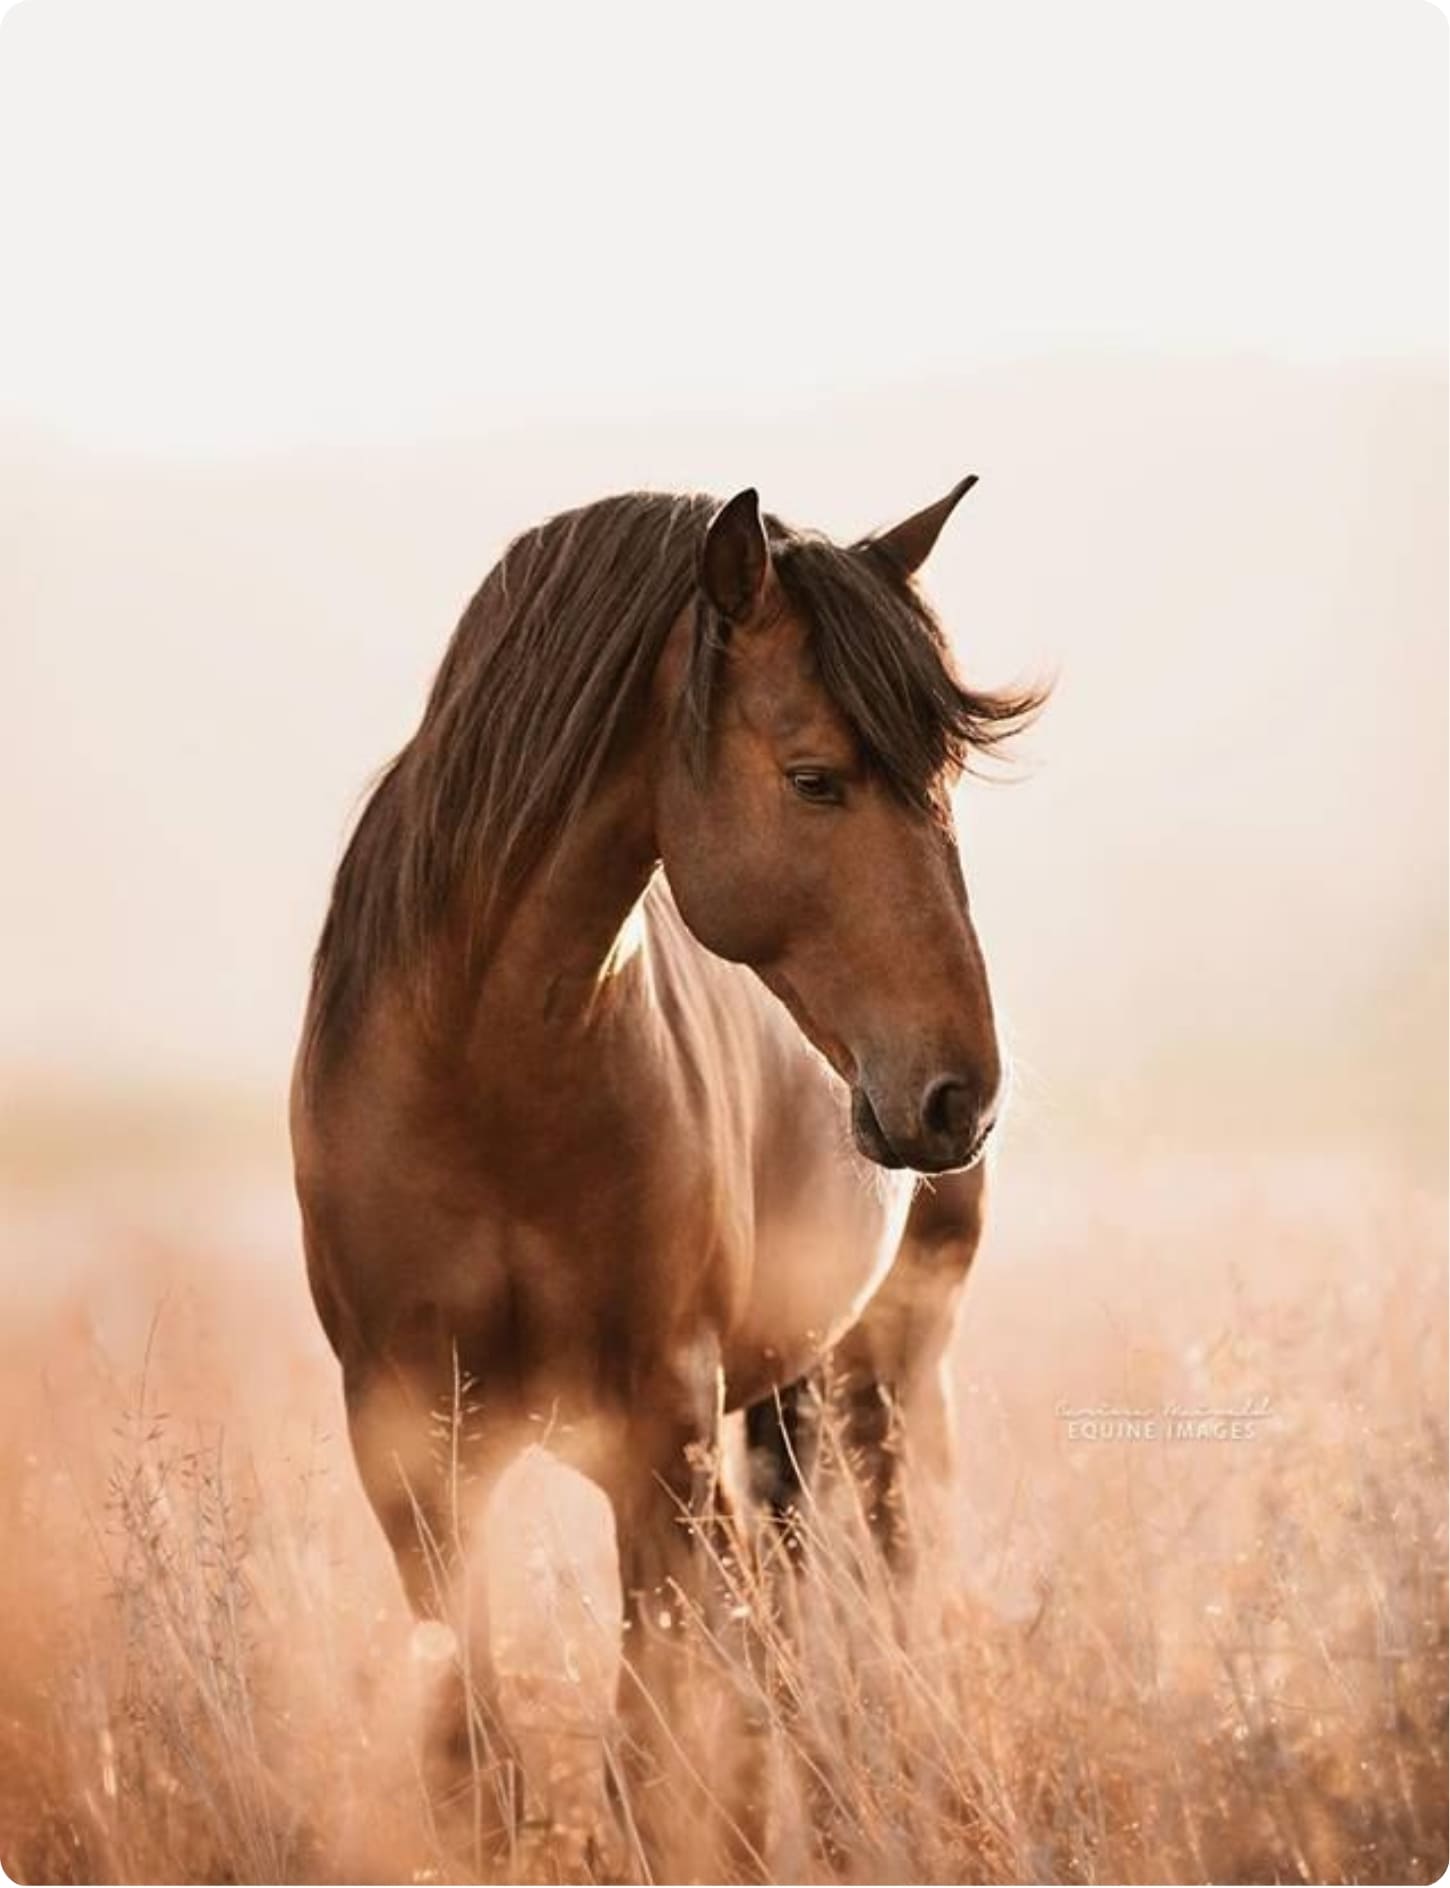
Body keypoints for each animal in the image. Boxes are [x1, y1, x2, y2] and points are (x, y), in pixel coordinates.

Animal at [290, 478, 1044, 1860]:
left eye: (943, 783)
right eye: (814, 778)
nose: (959, 1094)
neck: (485, 1080)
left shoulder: (660, 1445)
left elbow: (641, 1770)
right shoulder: (408, 1454)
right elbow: (478, 1769)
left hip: (882, 1379)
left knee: (876, 1613)